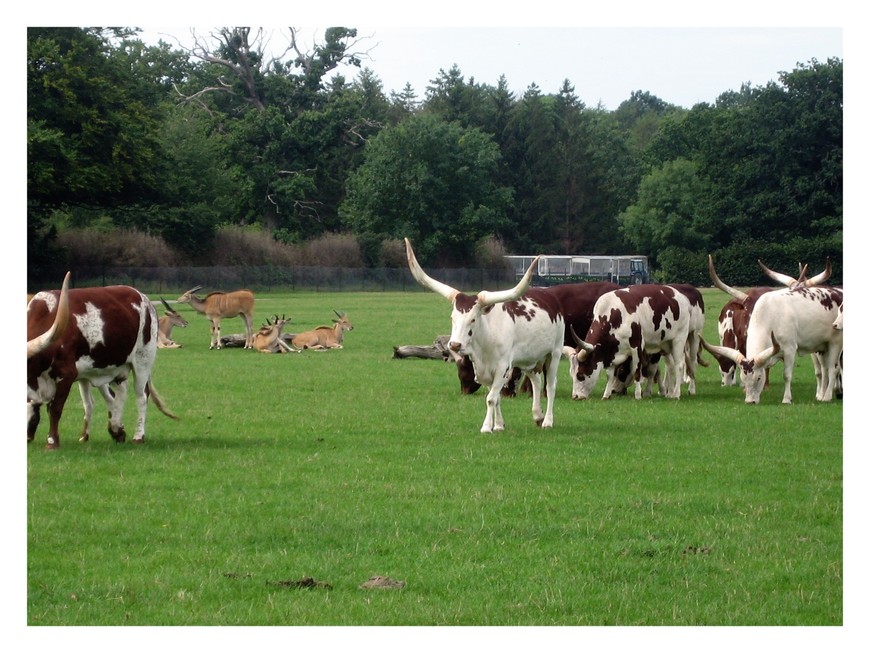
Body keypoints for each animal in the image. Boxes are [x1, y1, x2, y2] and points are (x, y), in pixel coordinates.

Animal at [27, 272, 177, 448]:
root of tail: (144, 298)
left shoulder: (67, 374)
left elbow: (55, 408)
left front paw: (52, 441)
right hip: (115, 367)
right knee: (118, 394)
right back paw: (115, 429)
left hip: (143, 360)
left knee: (141, 396)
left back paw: (138, 436)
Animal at [408, 237, 568, 430]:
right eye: (453, 317)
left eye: (473, 319)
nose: (454, 344)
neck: (484, 345)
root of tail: (551, 297)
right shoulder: (486, 369)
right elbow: (496, 398)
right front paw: (498, 425)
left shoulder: (502, 368)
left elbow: (491, 398)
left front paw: (486, 427)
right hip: (529, 359)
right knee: (536, 382)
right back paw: (538, 415)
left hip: (554, 353)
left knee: (551, 386)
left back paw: (548, 421)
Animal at [564, 284, 696, 398]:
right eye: (572, 374)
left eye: (580, 375)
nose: (575, 396)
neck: (614, 315)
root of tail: (680, 296)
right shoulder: (612, 351)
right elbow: (610, 374)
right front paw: (606, 394)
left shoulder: (636, 345)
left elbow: (636, 370)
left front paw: (637, 395)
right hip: (665, 344)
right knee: (671, 366)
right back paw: (669, 392)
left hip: (679, 340)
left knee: (680, 365)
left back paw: (676, 394)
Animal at [708, 286, 844, 402]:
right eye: (743, 378)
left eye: (758, 378)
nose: (750, 401)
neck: (770, 317)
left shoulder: (789, 350)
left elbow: (787, 375)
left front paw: (787, 399)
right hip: (822, 347)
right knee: (824, 370)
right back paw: (821, 395)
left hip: (835, 343)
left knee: (833, 369)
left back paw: (827, 396)